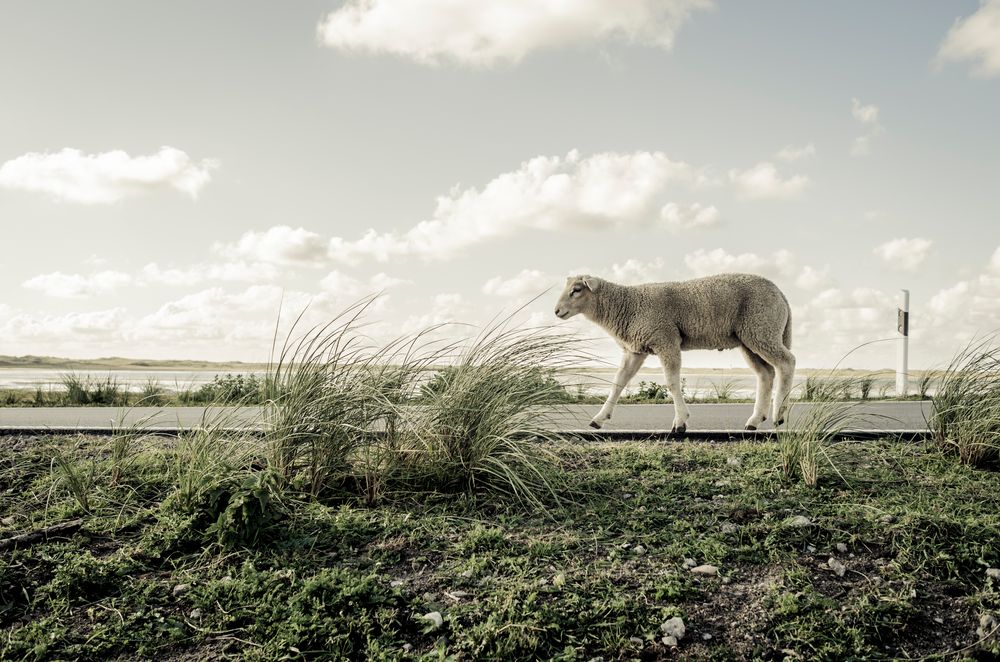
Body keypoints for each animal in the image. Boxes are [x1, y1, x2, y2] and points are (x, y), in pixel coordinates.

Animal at [556, 272, 796, 434]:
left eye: (576, 290)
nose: (556, 311)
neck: (626, 306)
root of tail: (781, 294)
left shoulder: (666, 339)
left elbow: (671, 383)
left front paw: (680, 422)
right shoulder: (636, 350)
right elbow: (618, 383)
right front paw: (599, 419)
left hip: (761, 328)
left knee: (787, 363)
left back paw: (778, 414)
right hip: (750, 338)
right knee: (766, 374)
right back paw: (754, 420)